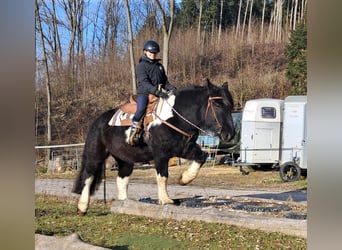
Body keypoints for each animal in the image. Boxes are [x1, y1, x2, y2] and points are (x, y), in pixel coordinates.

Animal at [73, 78, 235, 215]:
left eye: (230, 106)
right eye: (217, 104)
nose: (229, 134)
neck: (175, 118)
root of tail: (98, 121)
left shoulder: (185, 148)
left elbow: (201, 157)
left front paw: (184, 179)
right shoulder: (160, 154)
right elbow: (162, 176)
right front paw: (166, 199)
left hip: (125, 160)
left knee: (122, 179)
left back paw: (124, 202)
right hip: (96, 154)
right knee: (88, 176)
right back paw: (82, 207)